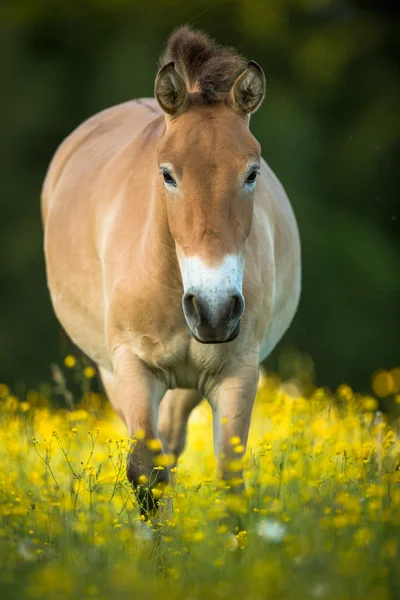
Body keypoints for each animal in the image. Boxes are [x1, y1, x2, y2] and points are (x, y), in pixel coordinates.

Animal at [42, 28, 302, 512]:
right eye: (167, 174)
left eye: (251, 173)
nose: (214, 312)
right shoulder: (132, 367)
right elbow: (146, 472)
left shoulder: (238, 373)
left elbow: (230, 481)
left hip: (187, 386)